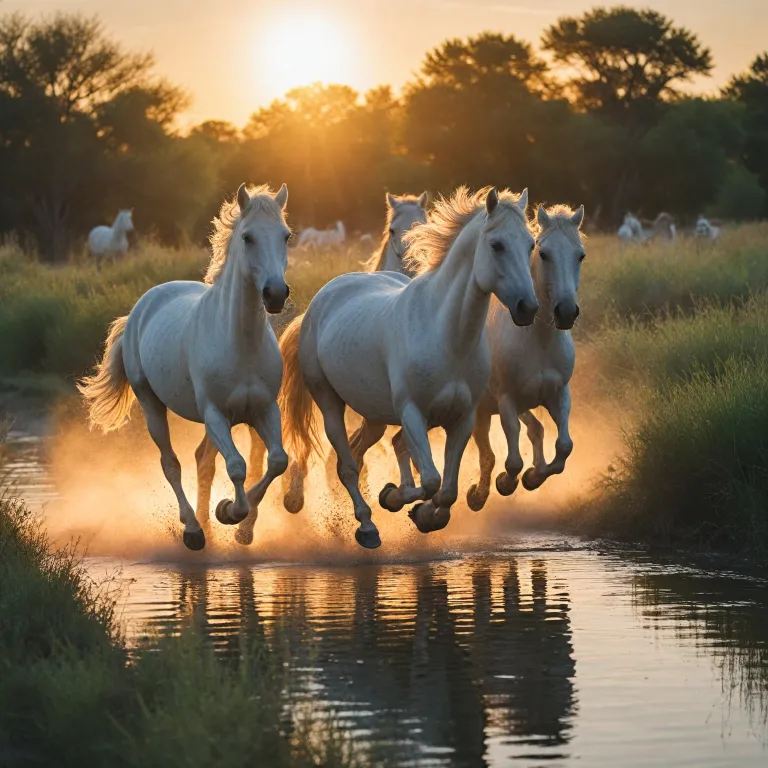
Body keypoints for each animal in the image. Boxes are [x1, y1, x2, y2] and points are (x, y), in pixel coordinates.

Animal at [77, 184, 291, 551]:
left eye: (286, 236)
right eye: (248, 237)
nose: (275, 294)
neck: (240, 343)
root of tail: (141, 307)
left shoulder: (264, 410)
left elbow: (277, 461)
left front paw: (237, 520)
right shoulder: (216, 414)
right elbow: (236, 466)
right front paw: (230, 511)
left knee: (202, 460)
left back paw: (205, 520)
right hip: (150, 404)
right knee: (171, 464)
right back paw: (193, 529)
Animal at [279, 186, 538, 549]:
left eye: (530, 244)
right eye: (497, 245)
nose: (527, 308)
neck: (446, 335)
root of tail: (320, 300)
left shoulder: (462, 417)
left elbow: (448, 489)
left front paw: (425, 515)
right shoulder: (413, 413)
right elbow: (430, 479)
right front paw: (393, 497)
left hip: (374, 415)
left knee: (355, 455)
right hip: (329, 403)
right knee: (346, 466)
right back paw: (367, 528)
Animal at [465, 203, 585, 511]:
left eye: (580, 255)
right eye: (543, 253)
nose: (566, 312)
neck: (539, 342)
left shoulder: (558, 393)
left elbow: (563, 447)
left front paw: (534, 477)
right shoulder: (507, 400)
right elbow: (513, 460)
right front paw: (506, 483)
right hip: (481, 410)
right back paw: (471, 497)